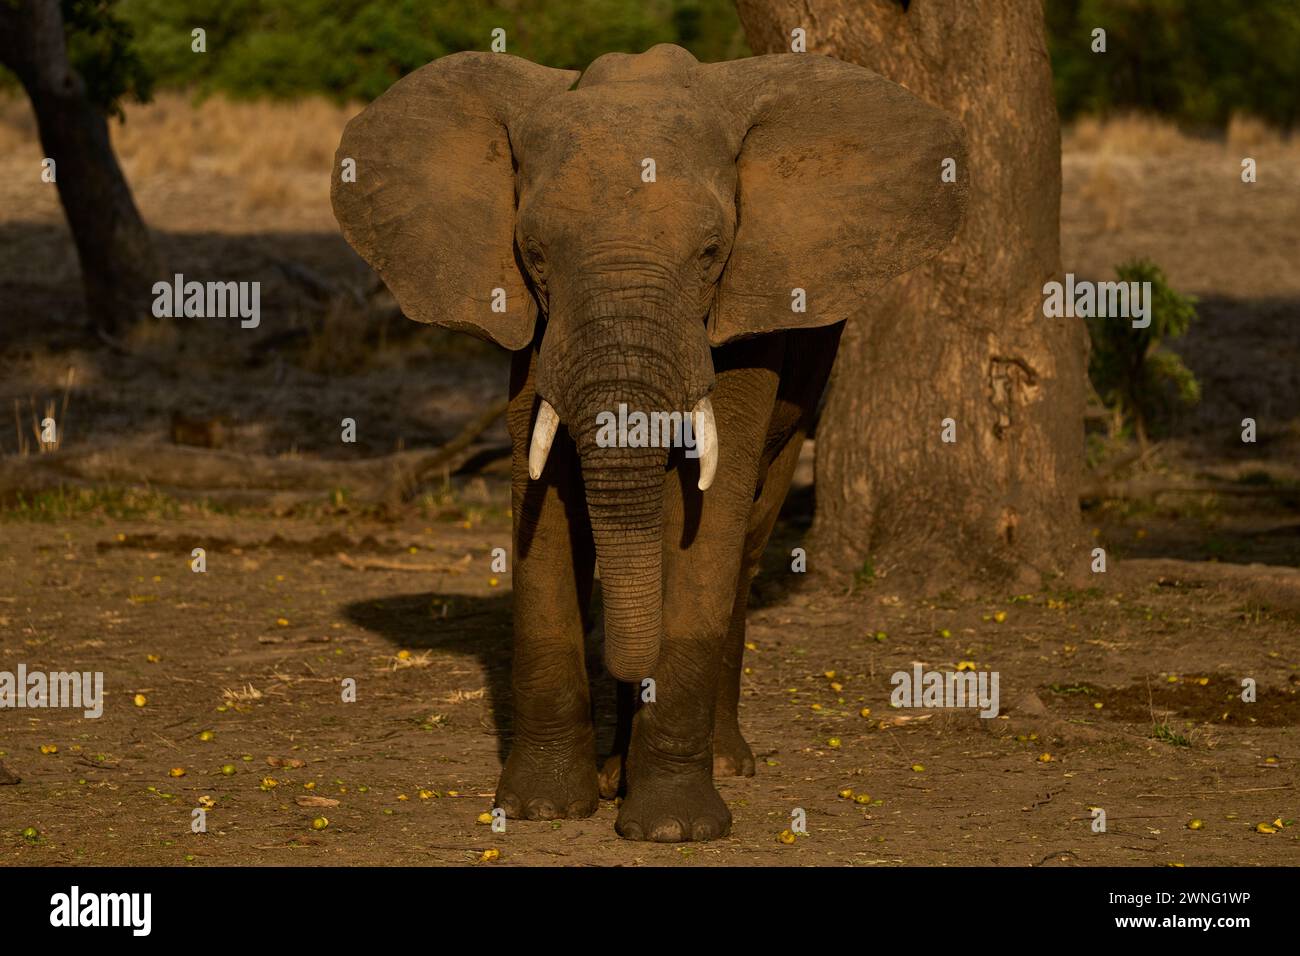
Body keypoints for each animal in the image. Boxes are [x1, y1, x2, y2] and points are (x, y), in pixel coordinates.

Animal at [335, 41, 967, 842]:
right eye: (533, 253)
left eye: (711, 252)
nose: (630, 668)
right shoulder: (535, 334)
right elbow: (542, 504)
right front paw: (541, 809)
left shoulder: (741, 318)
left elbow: (706, 524)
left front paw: (672, 827)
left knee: (747, 541)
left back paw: (720, 762)